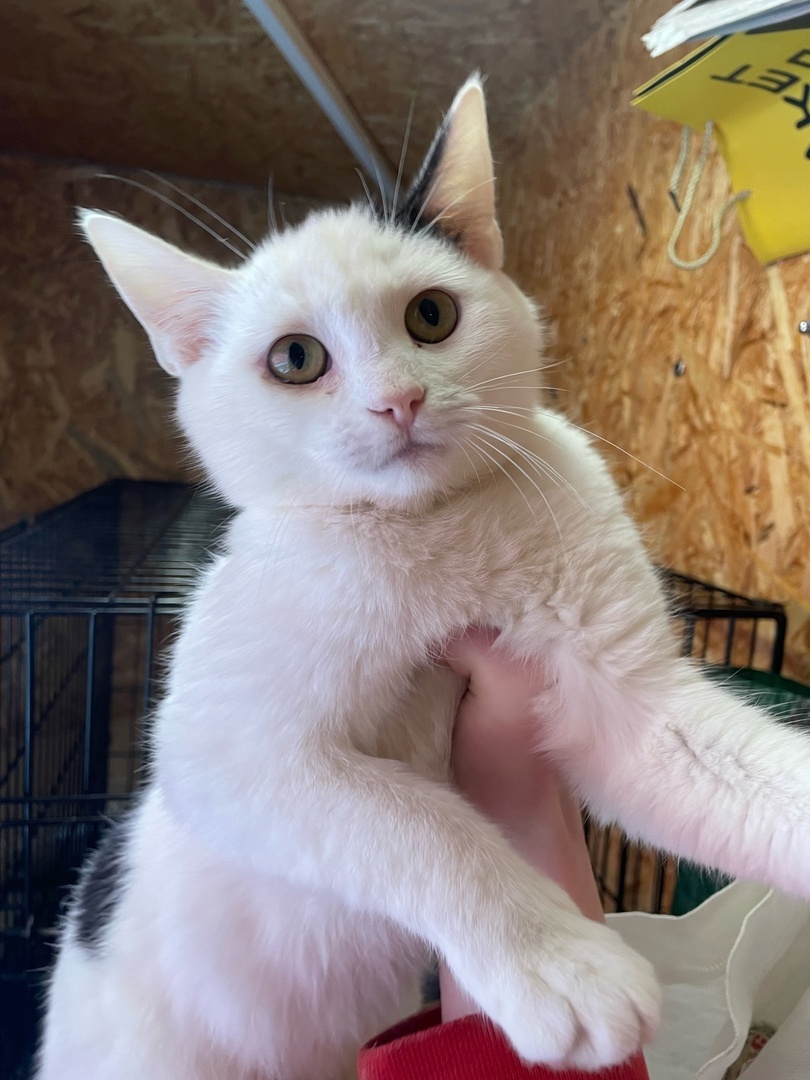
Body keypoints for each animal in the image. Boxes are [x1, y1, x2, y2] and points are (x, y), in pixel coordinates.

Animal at [36, 74, 810, 1080]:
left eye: (431, 316)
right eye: (295, 359)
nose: (398, 401)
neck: (435, 532)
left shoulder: (627, 706)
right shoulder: (222, 754)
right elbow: (417, 821)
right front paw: (557, 964)